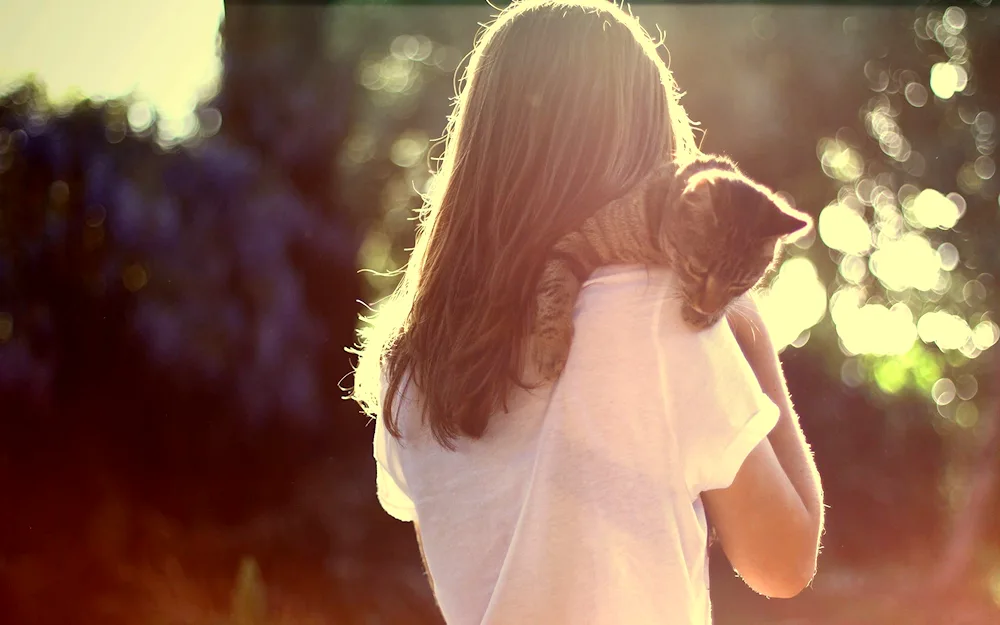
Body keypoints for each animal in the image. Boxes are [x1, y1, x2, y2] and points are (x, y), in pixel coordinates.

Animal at [532, 155, 812, 380]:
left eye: (739, 284)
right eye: (697, 270)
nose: (705, 308)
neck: (659, 251)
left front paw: (704, 314)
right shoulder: (576, 242)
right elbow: (554, 290)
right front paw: (551, 345)